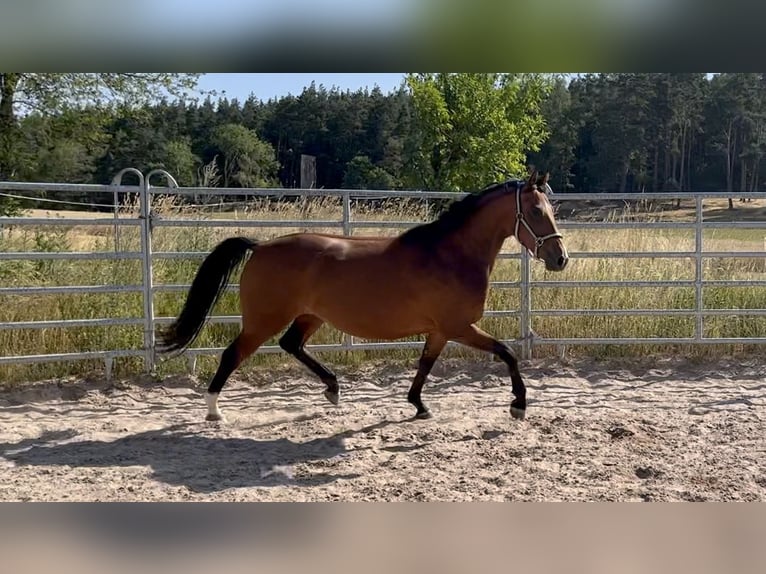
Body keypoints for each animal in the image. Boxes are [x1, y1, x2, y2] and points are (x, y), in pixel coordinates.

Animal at [156, 171, 568, 424]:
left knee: (291, 344)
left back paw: (334, 390)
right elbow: (507, 353)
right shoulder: (458, 326)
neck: (451, 253)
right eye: (535, 211)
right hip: (263, 320)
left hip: (310, 316)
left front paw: (418, 405)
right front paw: (518, 405)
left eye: (551, 209)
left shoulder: (439, 330)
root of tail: (260, 247)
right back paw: (214, 411)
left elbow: (425, 365)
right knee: (233, 354)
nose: (560, 258)